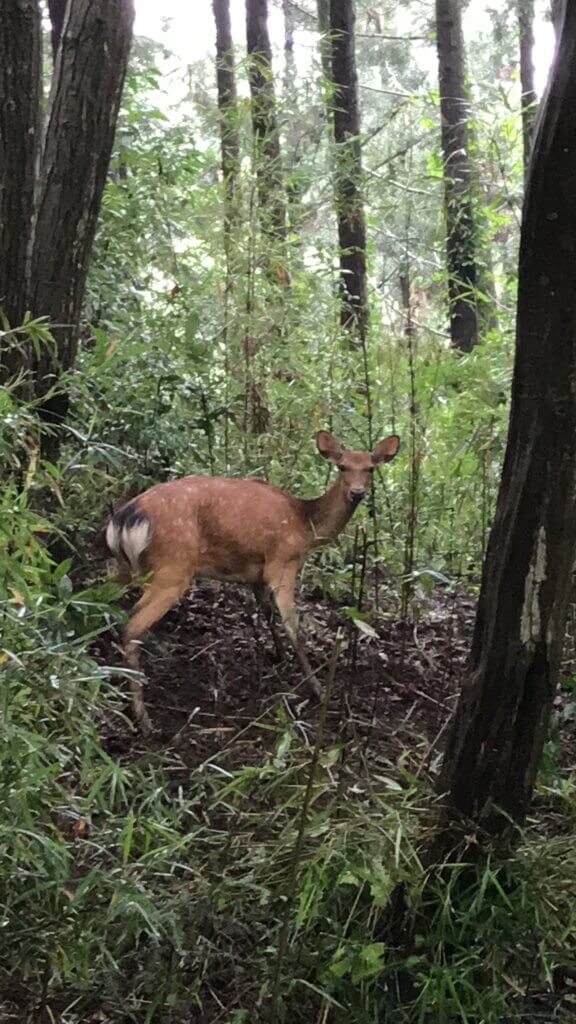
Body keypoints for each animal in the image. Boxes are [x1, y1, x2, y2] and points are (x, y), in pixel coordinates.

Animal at [105, 428, 397, 733]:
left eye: (370, 468)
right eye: (342, 466)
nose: (357, 492)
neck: (305, 527)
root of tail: (125, 519)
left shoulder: (256, 574)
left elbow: (267, 613)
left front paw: (279, 658)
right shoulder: (282, 563)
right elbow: (293, 625)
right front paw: (316, 688)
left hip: (122, 567)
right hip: (172, 566)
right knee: (132, 626)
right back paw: (143, 717)